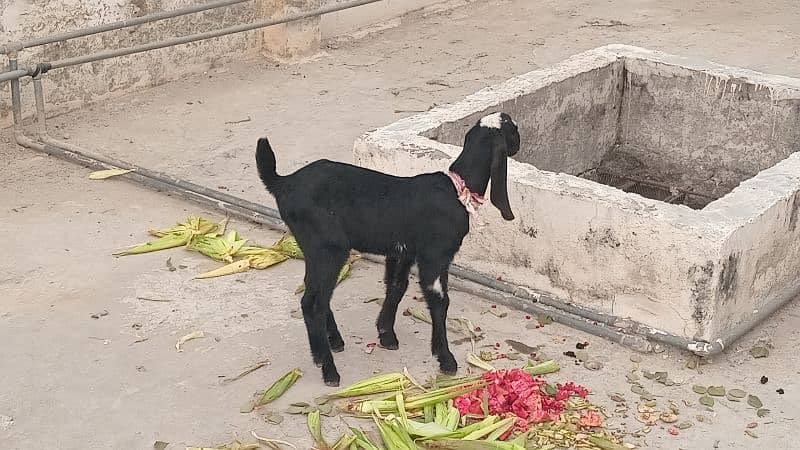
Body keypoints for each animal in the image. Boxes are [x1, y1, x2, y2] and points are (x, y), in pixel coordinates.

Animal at [255, 110, 520, 384]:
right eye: (513, 129)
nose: (518, 145)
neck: (457, 189)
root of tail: (284, 183)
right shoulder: (435, 255)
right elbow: (439, 300)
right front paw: (445, 358)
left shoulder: (403, 251)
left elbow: (396, 286)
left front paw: (386, 334)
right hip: (328, 248)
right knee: (313, 303)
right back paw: (328, 368)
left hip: (314, 249)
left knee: (315, 292)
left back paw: (331, 344)